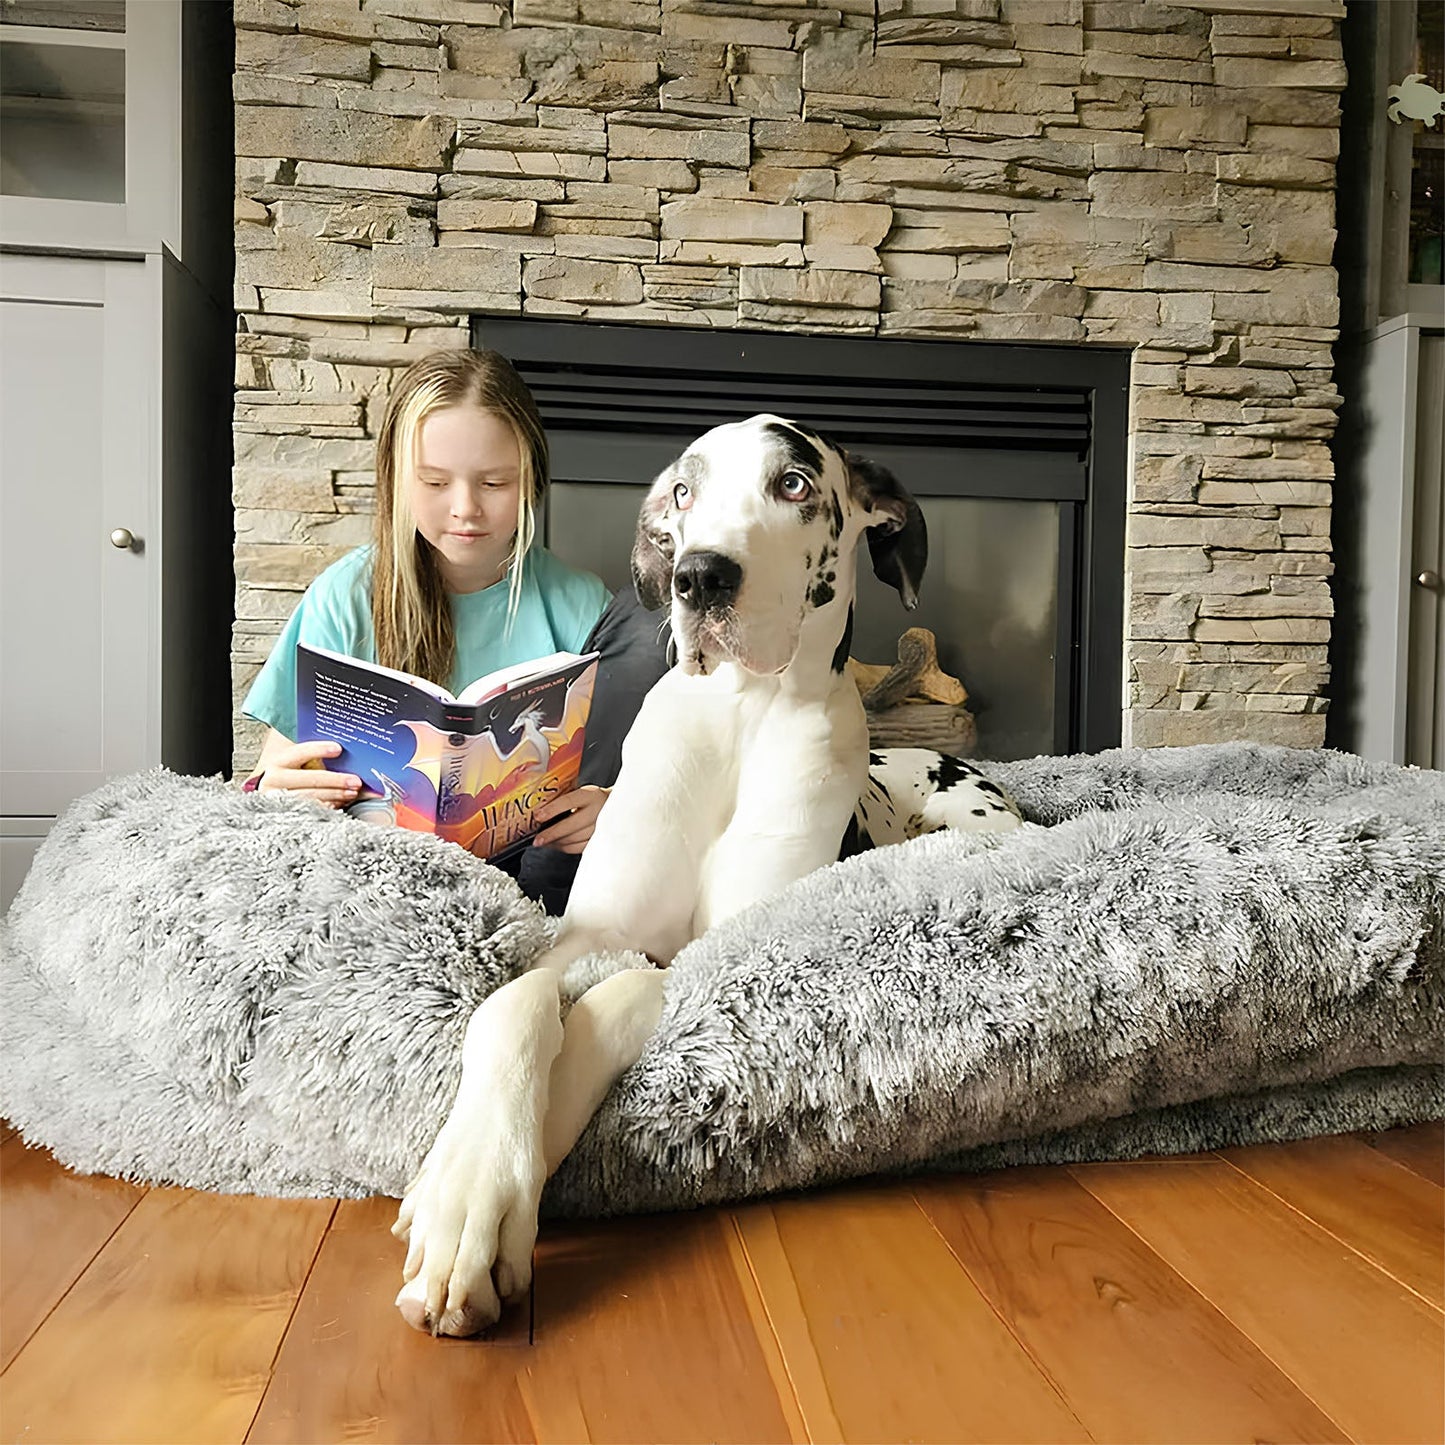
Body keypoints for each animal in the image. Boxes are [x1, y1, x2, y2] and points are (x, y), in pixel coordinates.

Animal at [384, 413, 1017, 1335]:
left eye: (793, 483)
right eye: (683, 491)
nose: (699, 576)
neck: (737, 717)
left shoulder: (708, 957)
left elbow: (617, 1000)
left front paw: (493, 1196)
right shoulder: (586, 933)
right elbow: (513, 1007)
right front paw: (463, 1176)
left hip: (968, 831)